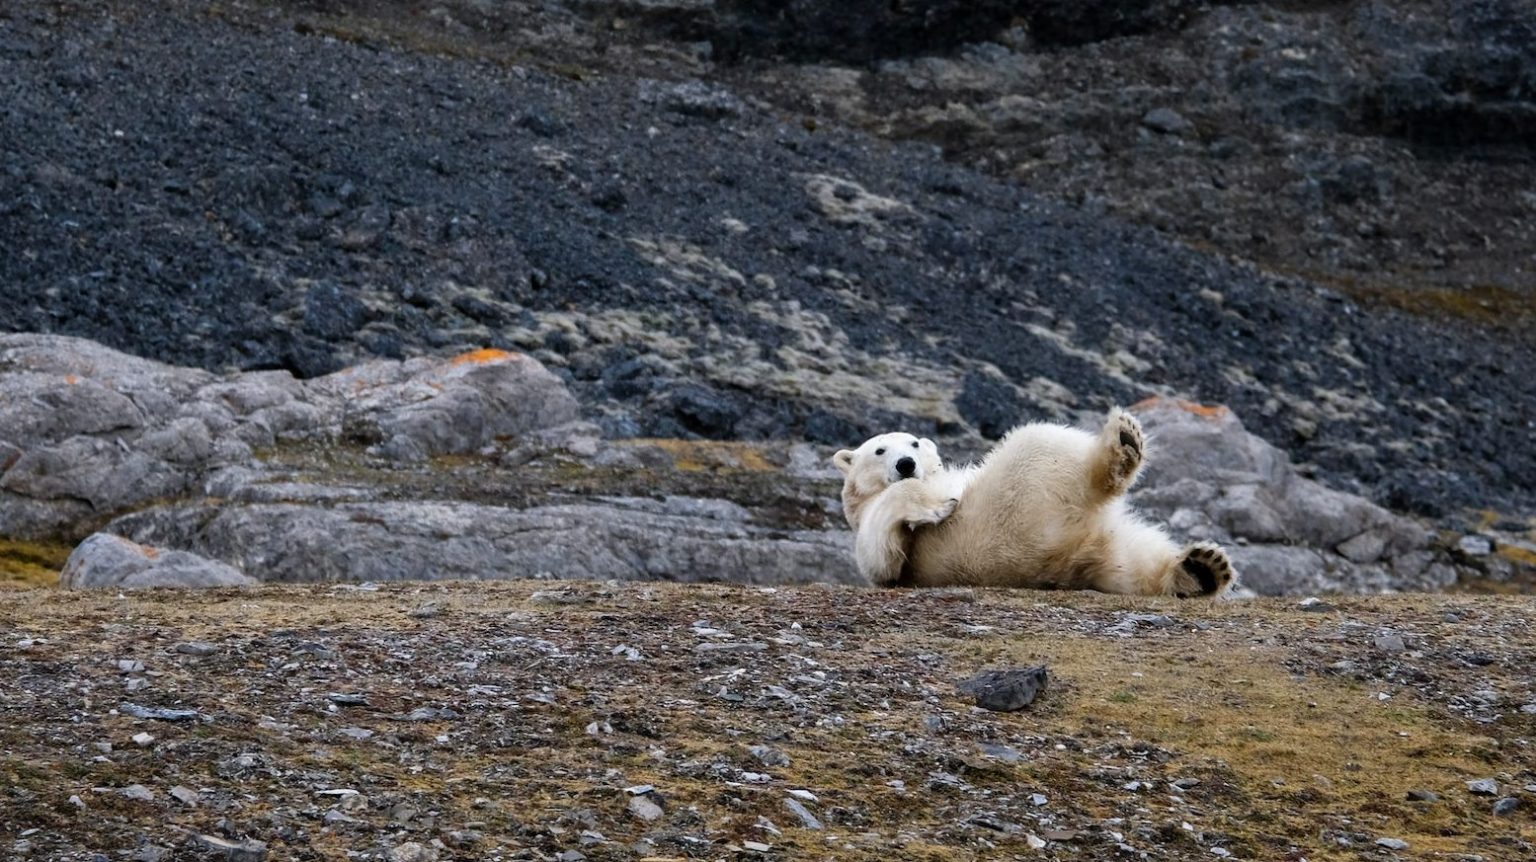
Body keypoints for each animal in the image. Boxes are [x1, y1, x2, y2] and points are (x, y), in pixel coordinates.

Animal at [832, 408, 1235, 597]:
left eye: (914, 443)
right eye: (880, 450)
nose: (906, 463)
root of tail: (1062, 558)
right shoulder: (876, 529)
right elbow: (882, 554)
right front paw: (937, 506)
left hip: (1095, 545)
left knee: (1134, 561)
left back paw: (1202, 569)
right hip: (1011, 509)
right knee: (1041, 439)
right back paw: (1121, 444)